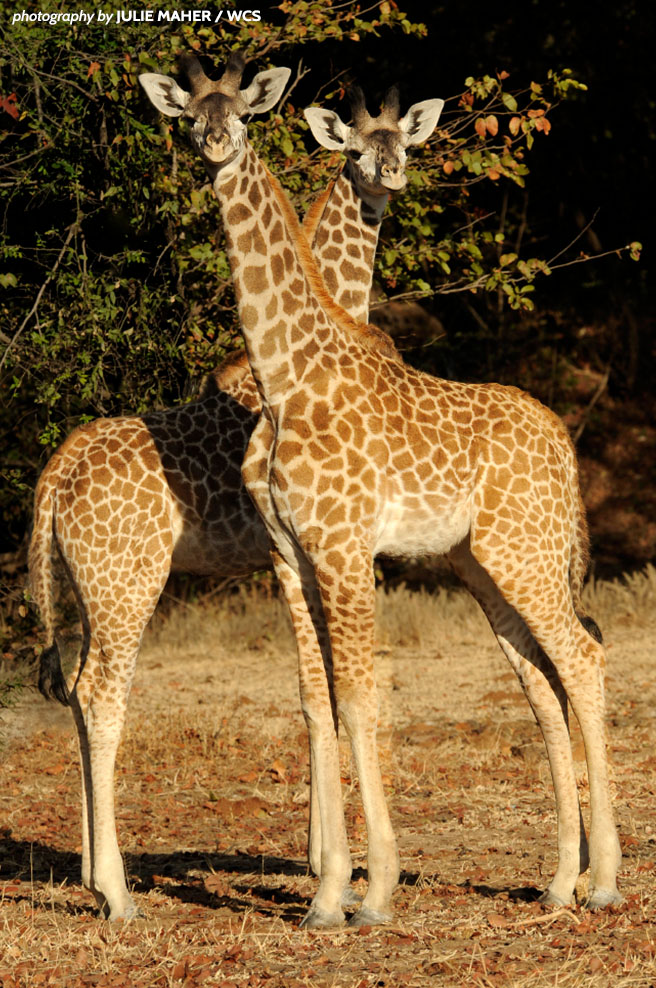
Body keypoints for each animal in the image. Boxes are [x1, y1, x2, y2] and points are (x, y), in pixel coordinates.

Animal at [30, 63, 440, 928]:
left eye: (402, 141)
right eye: (358, 147)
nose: (389, 173)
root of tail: (55, 475)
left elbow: (313, 690)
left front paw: (324, 864)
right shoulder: (300, 551)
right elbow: (328, 690)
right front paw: (331, 866)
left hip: (84, 586)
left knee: (76, 692)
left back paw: (88, 870)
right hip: (128, 583)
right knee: (102, 693)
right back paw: (116, 893)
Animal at [141, 50, 624, 932]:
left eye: (241, 112)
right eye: (190, 116)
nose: (216, 143)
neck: (285, 379)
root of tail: (564, 445)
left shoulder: (345, 546)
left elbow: (361, 699)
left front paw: (372, 892)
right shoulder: (289, 555)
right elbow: (315, 701)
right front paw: (327, 893)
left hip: (524, 553)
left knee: (584, 657)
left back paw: (603, 882)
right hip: (482, 565)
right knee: (544, 682)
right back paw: (557, 882)